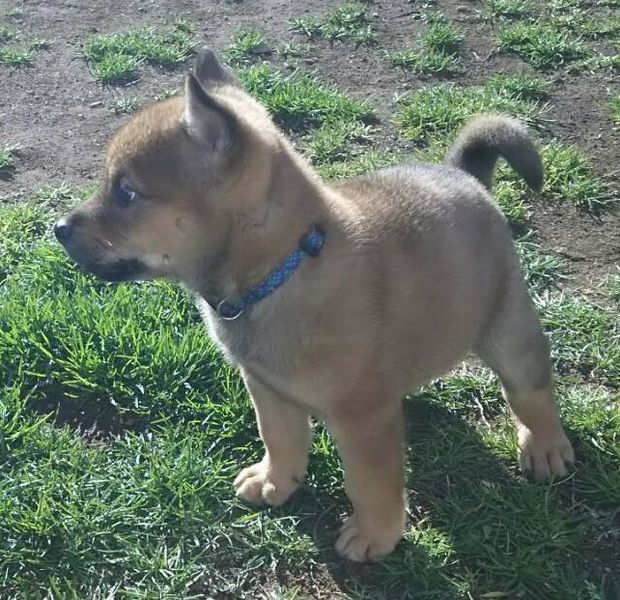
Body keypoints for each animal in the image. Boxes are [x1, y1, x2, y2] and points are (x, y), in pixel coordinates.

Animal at [55, 48, 574, 562]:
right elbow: (280, 438)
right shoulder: (266, 387)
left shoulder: (362, 419)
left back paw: (546, 447)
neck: (281, 269)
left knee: (531, 392)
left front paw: (374, 534)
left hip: (510, 332)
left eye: (126, 193)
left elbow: (371, 481)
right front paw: (274, 482)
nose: (58, 228)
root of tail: (462, 174)